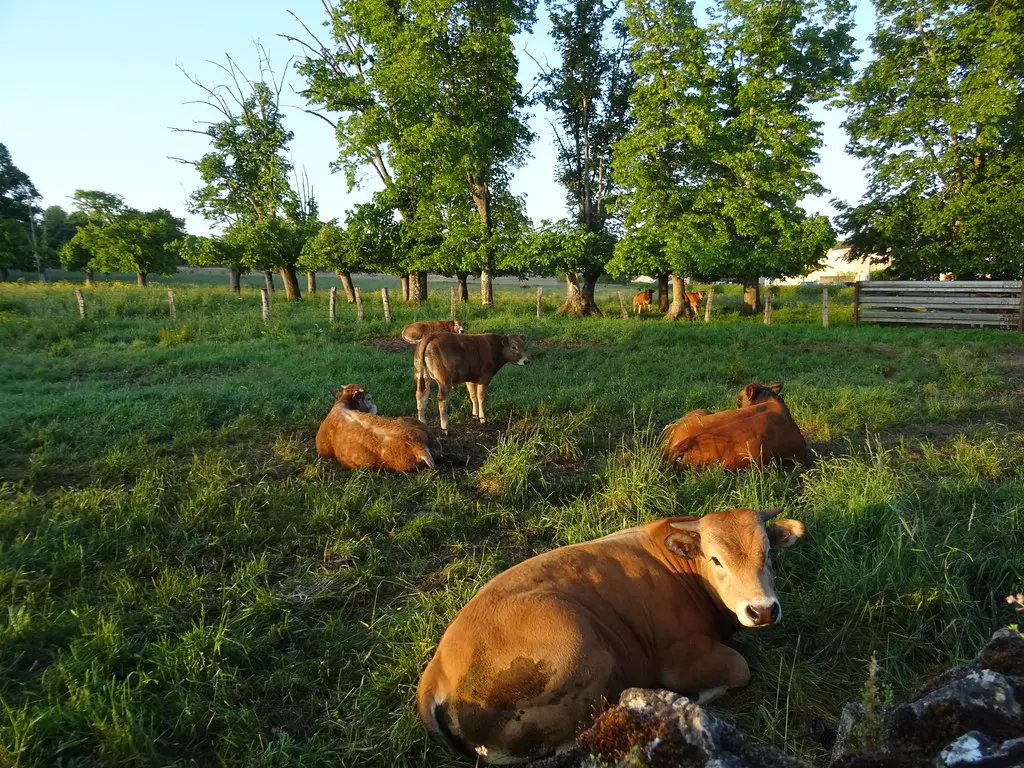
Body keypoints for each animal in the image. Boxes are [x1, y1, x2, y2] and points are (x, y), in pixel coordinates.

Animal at [417, 507, 805, 764]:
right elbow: (740, 668)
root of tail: (437, 670)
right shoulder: (680, 660)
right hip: (586, 648)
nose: (763, 610)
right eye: (716, 560)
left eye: (767, 554)